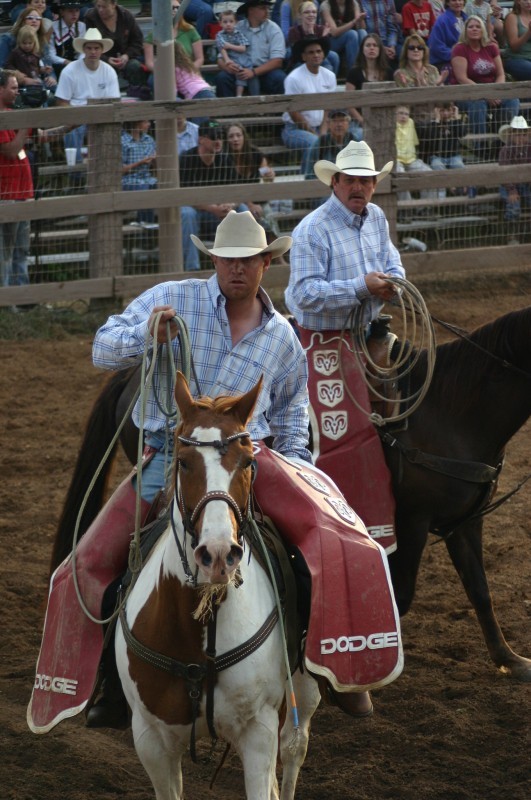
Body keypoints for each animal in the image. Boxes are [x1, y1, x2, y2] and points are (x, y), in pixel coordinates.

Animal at [51, 306, 531, 680]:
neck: (449, 412)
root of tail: (131, 375)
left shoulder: (465, 522)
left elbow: (480, 588)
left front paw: (509, 659)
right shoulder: (413, 519)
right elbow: (406, 591)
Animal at [116, 374, 320, 800]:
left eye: (248, 462)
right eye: (183, 461)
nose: (219, 554)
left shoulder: (259, 734)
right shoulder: (150, 739)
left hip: (303, 687)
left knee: (295, 745)